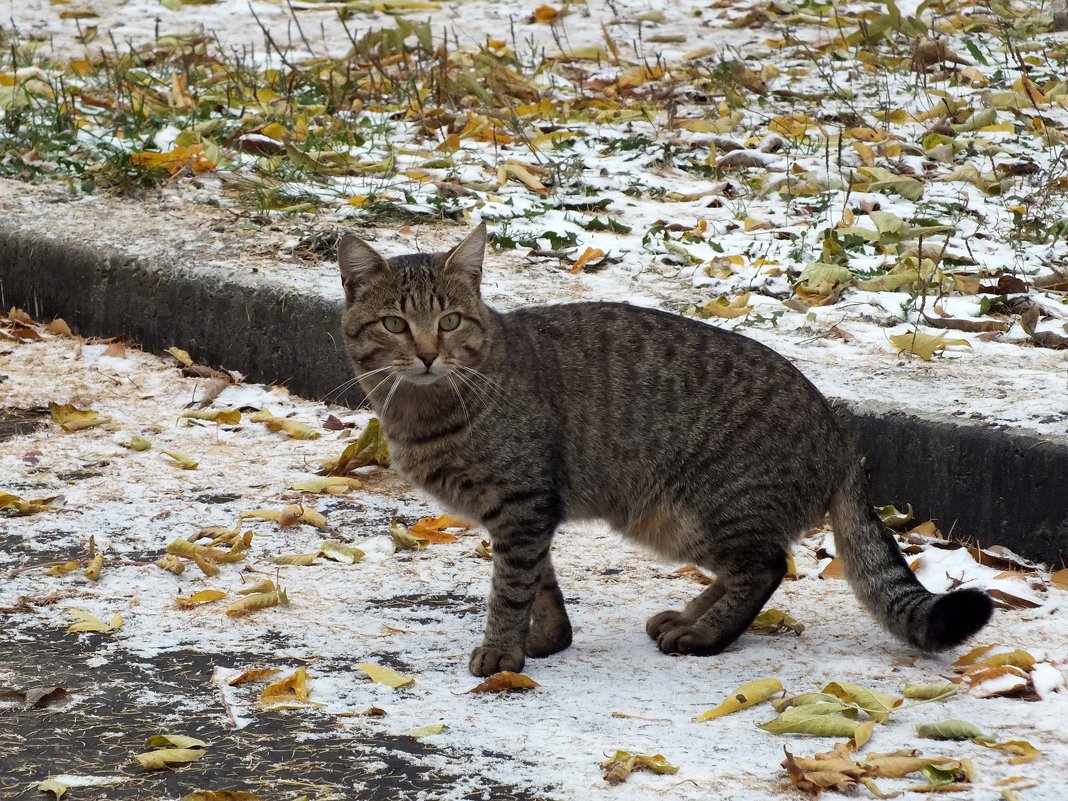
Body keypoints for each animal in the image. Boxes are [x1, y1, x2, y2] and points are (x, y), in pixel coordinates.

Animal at [335, 224, 991, 679]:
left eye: (448, 321)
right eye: (395, 324)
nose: (426, 354)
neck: (425, 411)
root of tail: (841, 434)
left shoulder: (523, 505)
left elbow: (512, 586)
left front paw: (502, 650)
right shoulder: (524, 513)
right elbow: (541, 582)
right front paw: (545, 638)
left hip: (703, 506)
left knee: (767, 566)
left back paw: (704, 636)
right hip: (669, 520)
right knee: (750, 567)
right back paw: (687, 617)